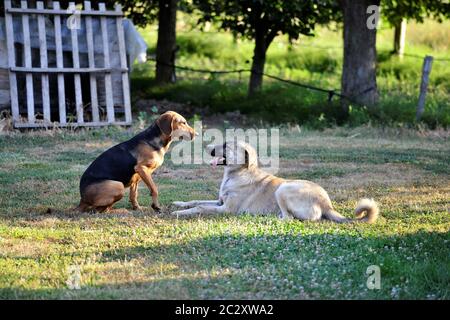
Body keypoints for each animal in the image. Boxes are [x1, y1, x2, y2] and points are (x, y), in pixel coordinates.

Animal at [172, 140, 380, 222]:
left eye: (225, 145)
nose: (205, 147)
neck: (237, 173)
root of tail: (326, 204)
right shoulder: (219, 201)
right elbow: (195, 200)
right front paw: (179, 203)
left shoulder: (226, 209)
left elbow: (200, 207)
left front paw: (179, 213)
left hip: (284, 189)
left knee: (288, 218)